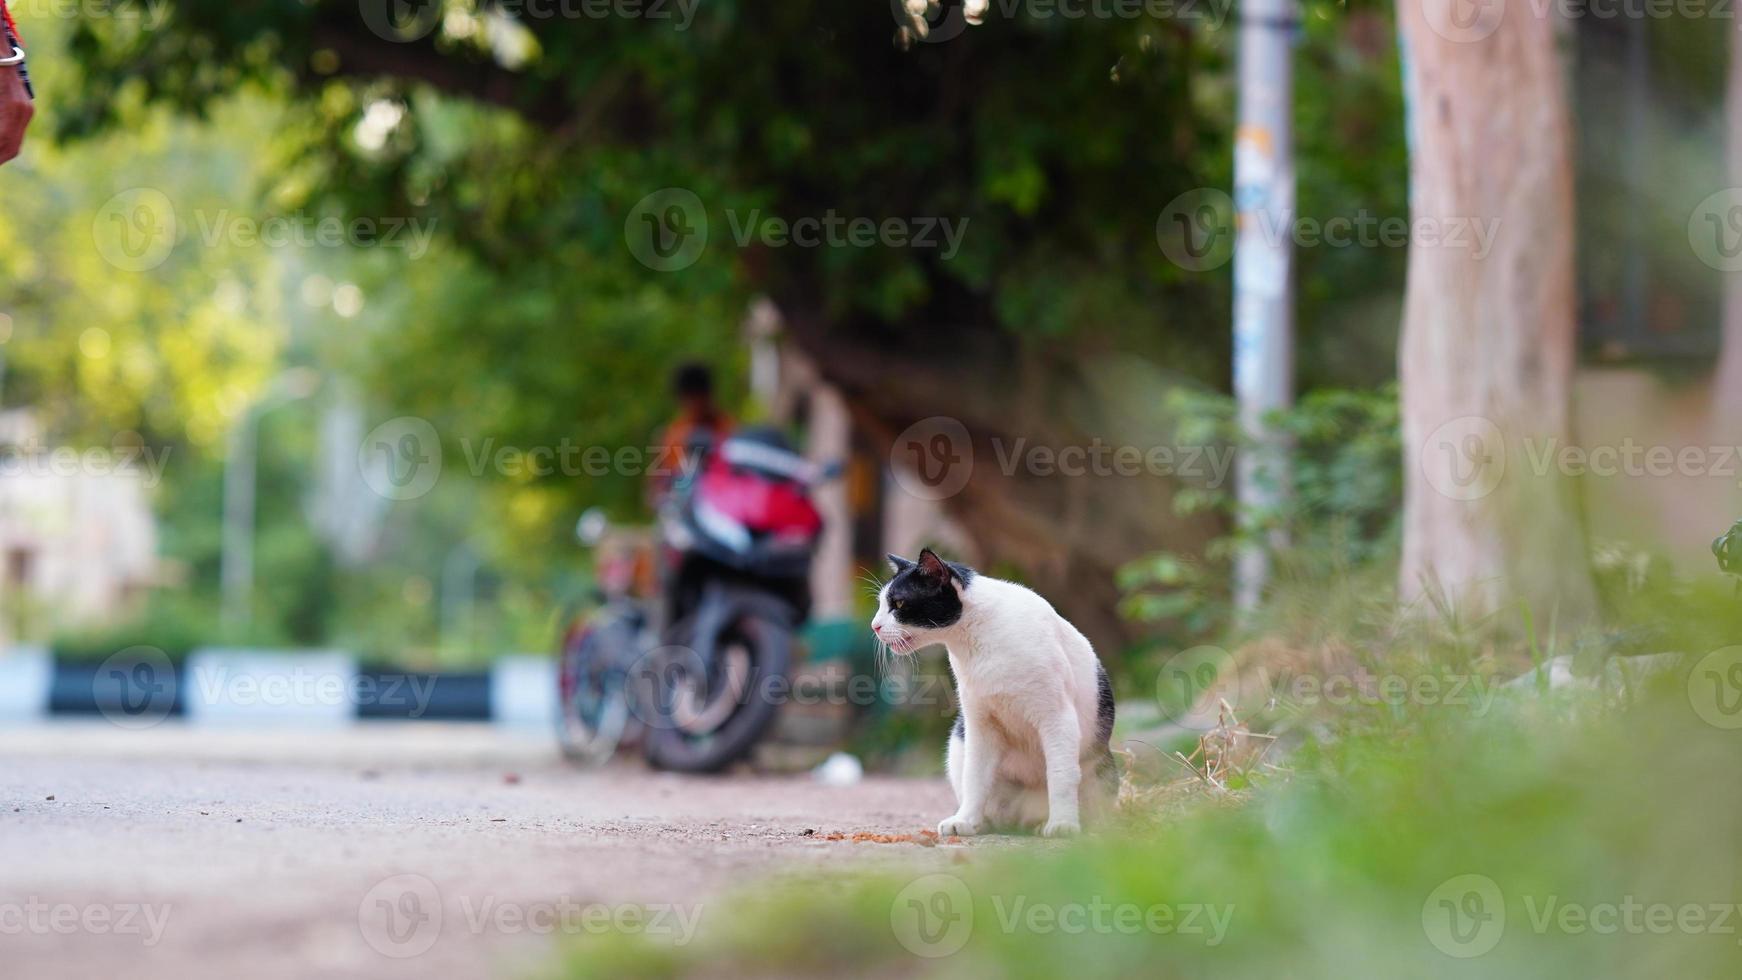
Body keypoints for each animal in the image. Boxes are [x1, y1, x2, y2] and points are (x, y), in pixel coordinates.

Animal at [871, 550, 1114, 839]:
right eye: (880, 605)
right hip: (958, 741)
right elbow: (975, 777)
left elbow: (1061, 774)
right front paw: (964, 820)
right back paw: (983, 822)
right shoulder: (980, 724)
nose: (874, 626)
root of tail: (1021, 818)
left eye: (898, 603)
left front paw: (1063, 824)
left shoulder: (1058, 718)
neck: (978, 640)